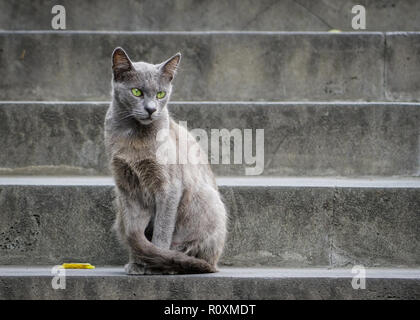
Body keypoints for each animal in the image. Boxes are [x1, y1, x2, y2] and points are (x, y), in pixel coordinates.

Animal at [104, 48, 226, 276]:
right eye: (137, 92)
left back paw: (173, 264)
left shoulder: (169, 187)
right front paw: (137, 264)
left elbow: (162, 230)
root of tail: (215, 265)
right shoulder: (126, 186)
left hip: (206, 200)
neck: (133, 139)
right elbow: (135, 231)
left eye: (160, 94)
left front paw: (154, 265)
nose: (151, 109)